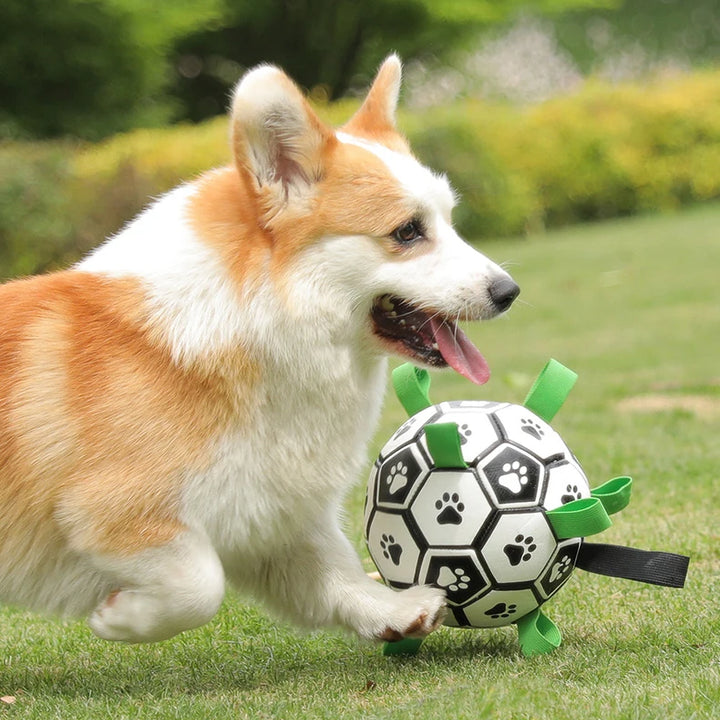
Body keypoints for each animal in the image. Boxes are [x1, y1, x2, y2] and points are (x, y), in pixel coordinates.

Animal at [0, 53, 516, 644]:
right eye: (408, 232)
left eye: (448, 221)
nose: (509, 292)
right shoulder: (113, 512)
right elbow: (200, 584)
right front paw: (122, 620)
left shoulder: (272, 513)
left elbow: (332, 570)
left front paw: (390, 610)